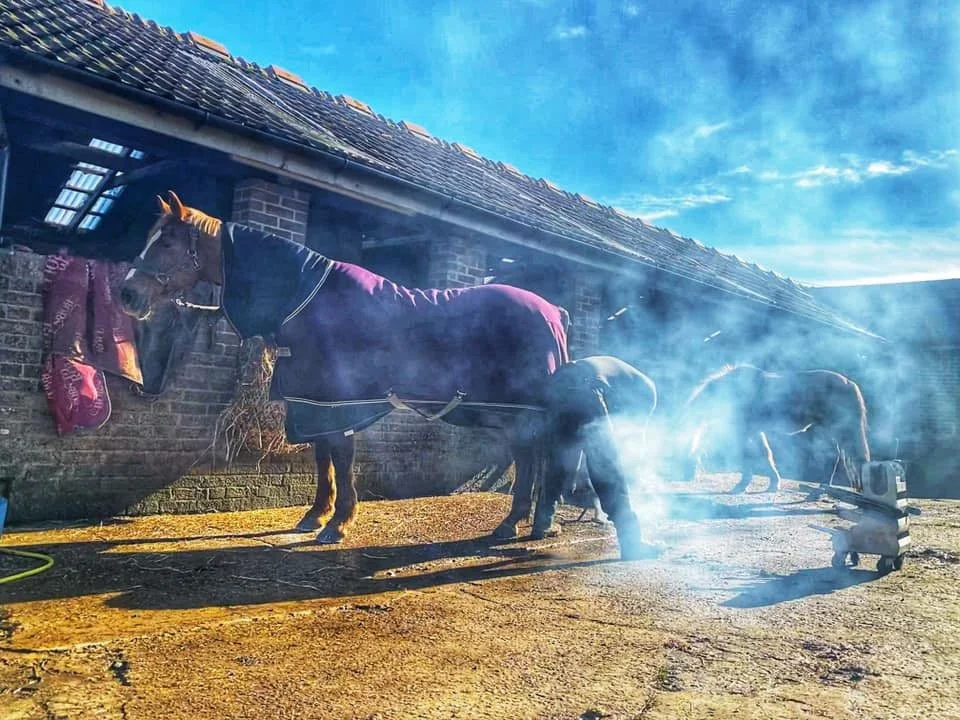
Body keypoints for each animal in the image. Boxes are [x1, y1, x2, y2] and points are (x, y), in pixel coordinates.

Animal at [119, 191, 570, 543]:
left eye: (168, 242)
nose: (126, 294)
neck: (306, 297)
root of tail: (553, 311)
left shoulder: (337, 402)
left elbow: (342, 457)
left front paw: (338, 523)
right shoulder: (313, 403)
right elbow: (323, 460)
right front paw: (316, 515)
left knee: (532, 457)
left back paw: (517, 523)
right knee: (530, 457)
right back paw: (526, 523)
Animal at [676, 363, 871, 493]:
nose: (685, 477)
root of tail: (850, 383)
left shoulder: (744, 432)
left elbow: (748, 457)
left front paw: (742, 485)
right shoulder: (755, 432)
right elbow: (766, 454)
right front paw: (773, 483)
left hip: (844, 430)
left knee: (857, 457)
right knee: (838, 457)